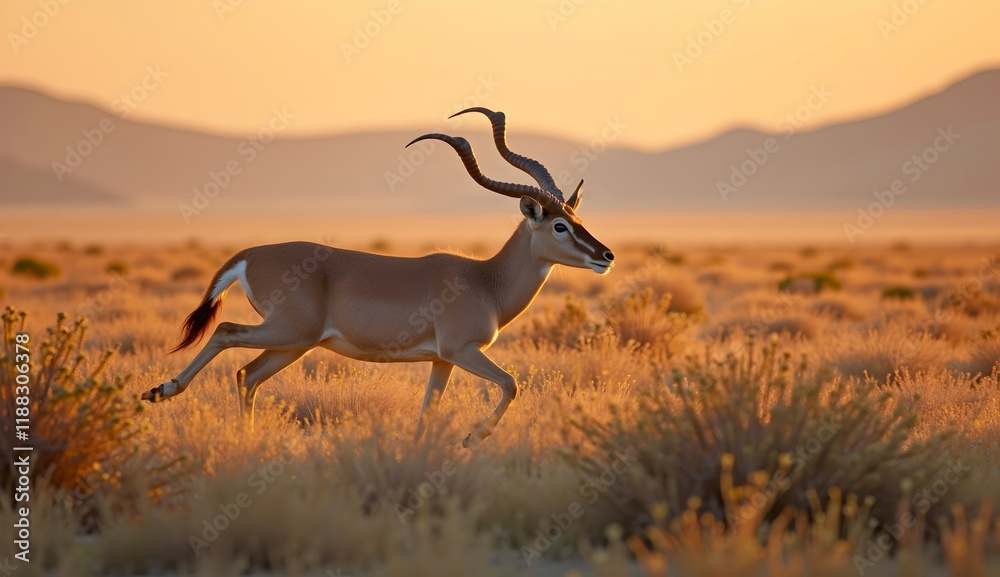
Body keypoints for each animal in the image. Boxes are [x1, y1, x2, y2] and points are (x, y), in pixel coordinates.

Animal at [142, 107, 615, 447]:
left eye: (577, 218)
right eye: (559, 226)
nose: (606, 255)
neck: (485, 281)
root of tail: (250, 254)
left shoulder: (442, 360)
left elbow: (427, 414)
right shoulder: (463, 350)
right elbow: (512, 384)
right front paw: (470, 438)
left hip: (295, 343)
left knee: (247, 375)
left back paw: (245, 438)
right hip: (287, 332)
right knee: (224, 331)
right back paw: (160, 390)